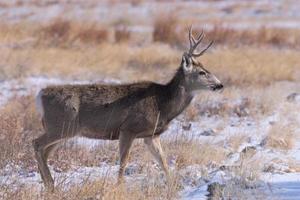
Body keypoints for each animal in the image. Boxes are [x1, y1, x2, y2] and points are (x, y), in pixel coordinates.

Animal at [33, 26, 223, 191]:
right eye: (202, 72)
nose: (220, 85)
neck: (162, 104)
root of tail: (40, 95)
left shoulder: (151, 135)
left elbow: (163, 160)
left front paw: (173, 185)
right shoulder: (128, 129)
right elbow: (124, 161)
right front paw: (119, 186)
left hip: (62, 129)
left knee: (44, 151)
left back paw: (49, 185)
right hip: (61, 126)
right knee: (36, 143)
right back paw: (49, 184)